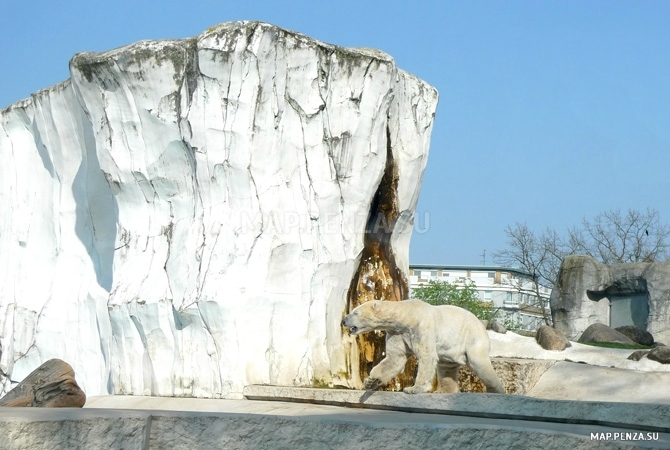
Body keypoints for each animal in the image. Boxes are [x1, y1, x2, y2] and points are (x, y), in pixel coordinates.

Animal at [344, 298, 506, 394]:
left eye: (355, 312)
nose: (344, 320)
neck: (406, 316)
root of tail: (481, 324)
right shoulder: (396, 333)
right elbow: (395, 359)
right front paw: (370, 381)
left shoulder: (421, 327)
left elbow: (427, 356)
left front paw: (413, 389)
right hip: (451, 352)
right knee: (446, 368)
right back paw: (445, 391)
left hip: (473, 338)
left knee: (479, 363)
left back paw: (496, 391)